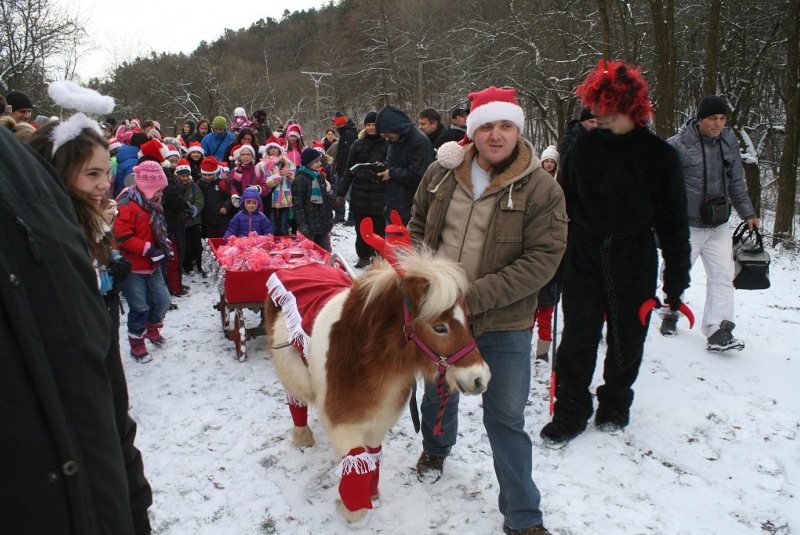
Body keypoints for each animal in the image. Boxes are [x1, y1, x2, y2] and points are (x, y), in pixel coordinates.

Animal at [264, 248, 488, 524]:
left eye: (467, 320)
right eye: (439, 327)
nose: (481, 378)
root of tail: (301, 265)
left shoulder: (378, 422)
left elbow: (372, 458)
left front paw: (372, 493)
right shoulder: (346, 427)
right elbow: (355, 465)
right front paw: (353, 510)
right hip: (290, 375)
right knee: (296, 401)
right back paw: (303, 436)